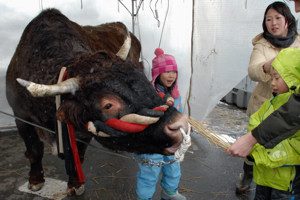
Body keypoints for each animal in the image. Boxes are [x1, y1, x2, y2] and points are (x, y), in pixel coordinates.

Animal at [4, 8, 189, 195]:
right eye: (108, 105)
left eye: (142, 78)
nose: (180, 123)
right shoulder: (21, 116)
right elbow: (34, 151)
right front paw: (35, 180)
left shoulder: (82, 132)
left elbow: (78, 155)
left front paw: (75, 184)